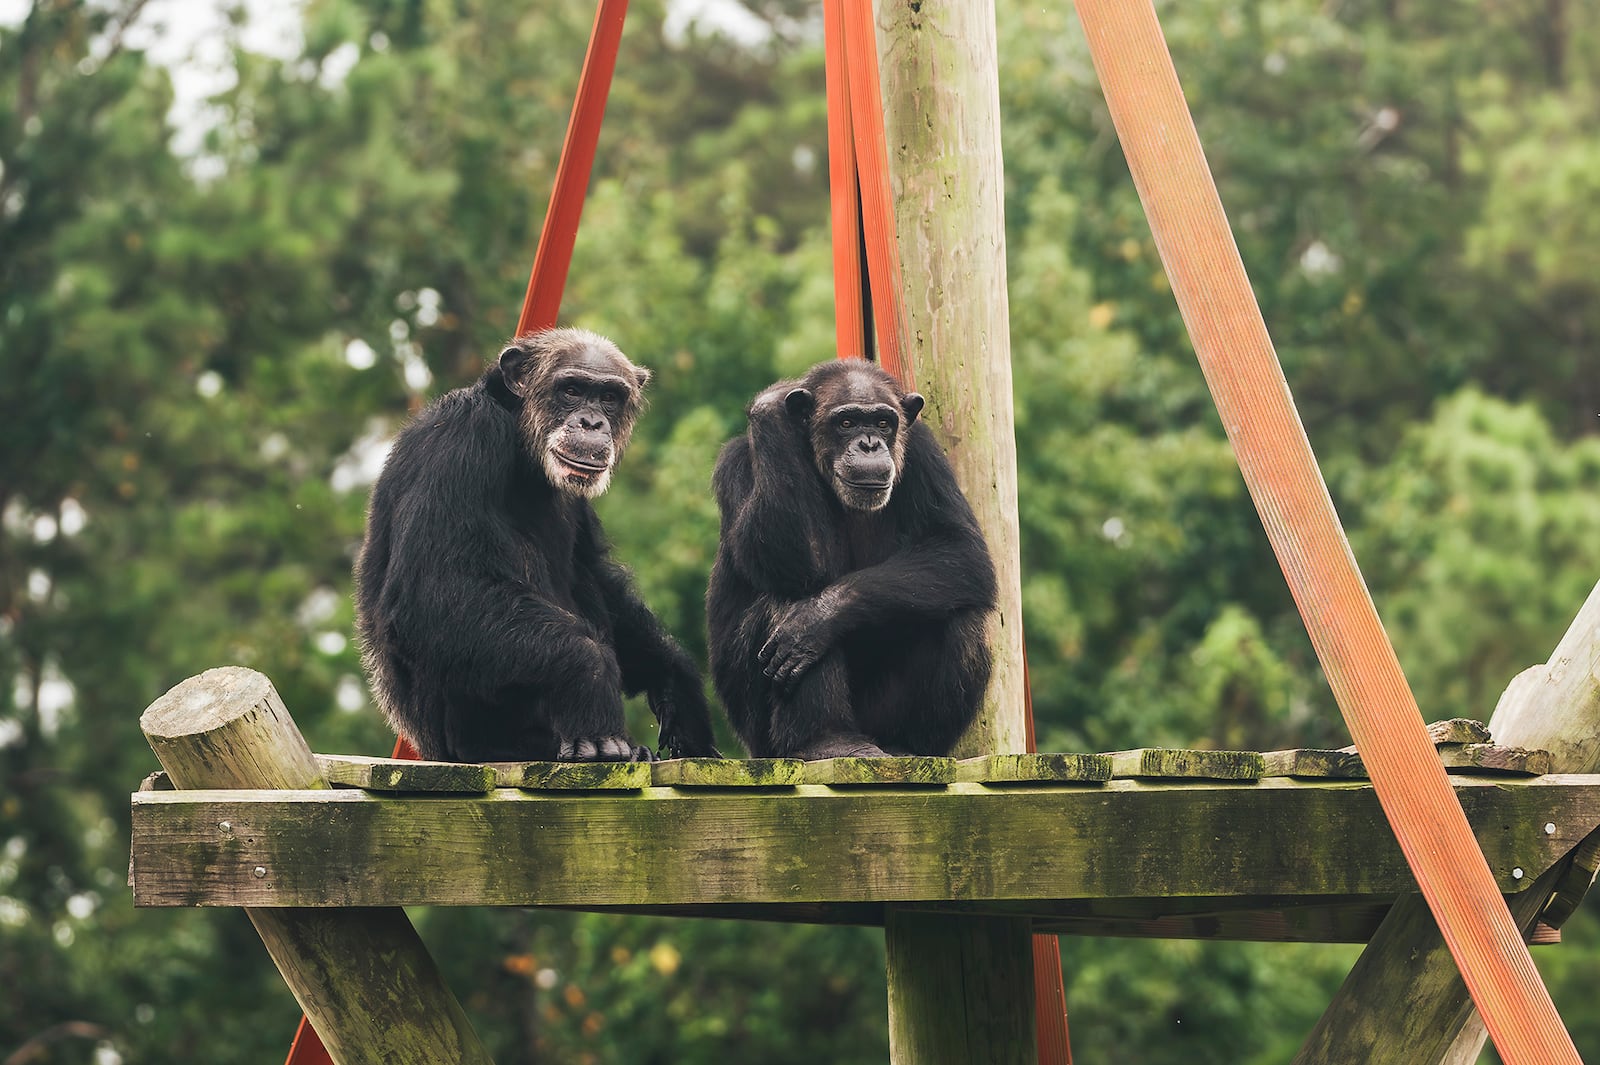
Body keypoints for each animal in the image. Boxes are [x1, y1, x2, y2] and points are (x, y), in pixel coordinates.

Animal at [360, 327, 723, 757]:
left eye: (609, 397)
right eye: (572, 390)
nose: (591, 422)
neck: (521, 443)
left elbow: (598, 573)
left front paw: (675, 679)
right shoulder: (458, 440)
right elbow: (432, 589)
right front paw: (592, 680)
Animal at [707, 361, 992, 757]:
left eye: (883, 422)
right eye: (846, 422)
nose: (869, 443)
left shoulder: (925, 453)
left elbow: (961, 548)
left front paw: (818, 619)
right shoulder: (738, 462)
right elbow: (787, 555)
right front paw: (772, 405)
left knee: (962, 618)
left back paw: (908, 745)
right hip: (759, 737)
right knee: (787, 592)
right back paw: (828, 741)